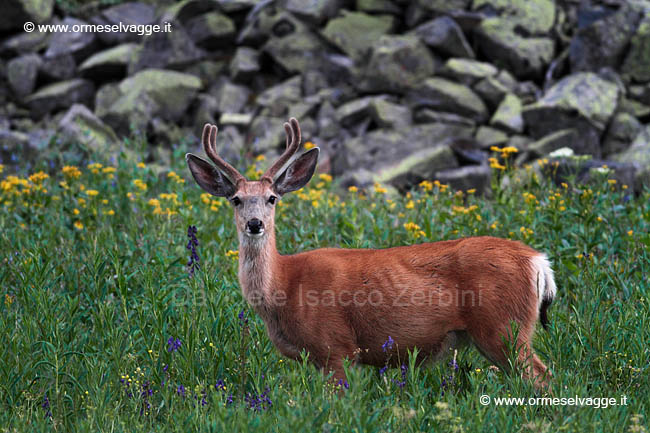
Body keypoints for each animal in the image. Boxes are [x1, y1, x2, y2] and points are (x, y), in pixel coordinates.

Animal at [185, 117, 556, 388]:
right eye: (236, 199)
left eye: (272, 198)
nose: (255, 223)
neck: (284, 286)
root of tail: (538, 262)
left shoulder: (335, 347)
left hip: (504, 327)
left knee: (542, 376)